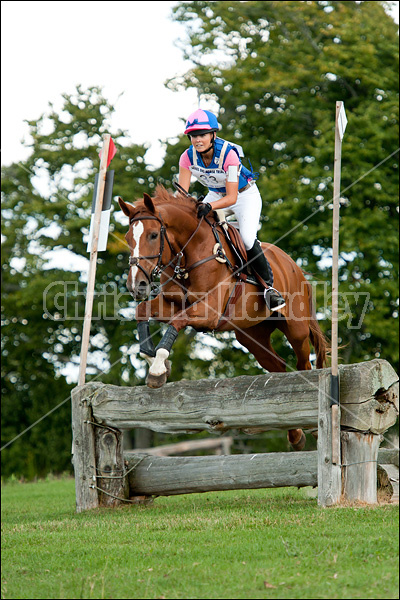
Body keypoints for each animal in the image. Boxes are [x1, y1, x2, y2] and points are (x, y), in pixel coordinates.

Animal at [119, 185, 328, 452]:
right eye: (128, 238)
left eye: (154, 235)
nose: (136, 286)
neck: (189, 252)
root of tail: (293, 264)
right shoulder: (172, 303)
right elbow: (142, 311)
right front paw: (155, 360)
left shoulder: (208, 312)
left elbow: (177, 322)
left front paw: (157, 369)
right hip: (252, 337)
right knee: (278, 367)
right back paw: (295, 434)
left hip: (296, 328)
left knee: (303, 364)